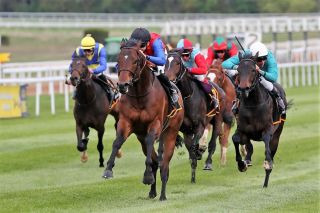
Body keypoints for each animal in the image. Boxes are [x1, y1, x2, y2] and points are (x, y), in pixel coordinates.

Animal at [101, 39, 184, 201]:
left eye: (135, 61)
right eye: (118, 60)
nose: (122, 85)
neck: (140, 95)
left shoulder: (155, 124)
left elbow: (151, 141)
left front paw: (147, 177)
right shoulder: (126, 122)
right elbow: (117, 142)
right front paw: (108, 169)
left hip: (171, 132)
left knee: (164, 164)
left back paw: (162, 195)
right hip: (141, 138)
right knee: (155, 161)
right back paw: (152, 191)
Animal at [164, 49, 224, 181]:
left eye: (177, 63)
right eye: (166, 62)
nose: (168, 78)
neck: (187, 97)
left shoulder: (200, 126)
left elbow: (194, 146)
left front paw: (199, 152)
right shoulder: (186, 130)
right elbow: (190, 149)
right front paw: (192, 176)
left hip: (217, 120)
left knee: (212, 144)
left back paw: (208, 162)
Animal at [232, 52, 288, 187]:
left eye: (253, 70)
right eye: (238, 70)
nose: (243, 88)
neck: (253, 105)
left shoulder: (268, 129)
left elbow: (267, 143)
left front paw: (268, 164)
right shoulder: (242, 129)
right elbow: (235, 138)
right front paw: (241, 164)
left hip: (278, 134)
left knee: (271, 149)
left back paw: (265, 183)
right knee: (249, 147)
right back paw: (247, 160)